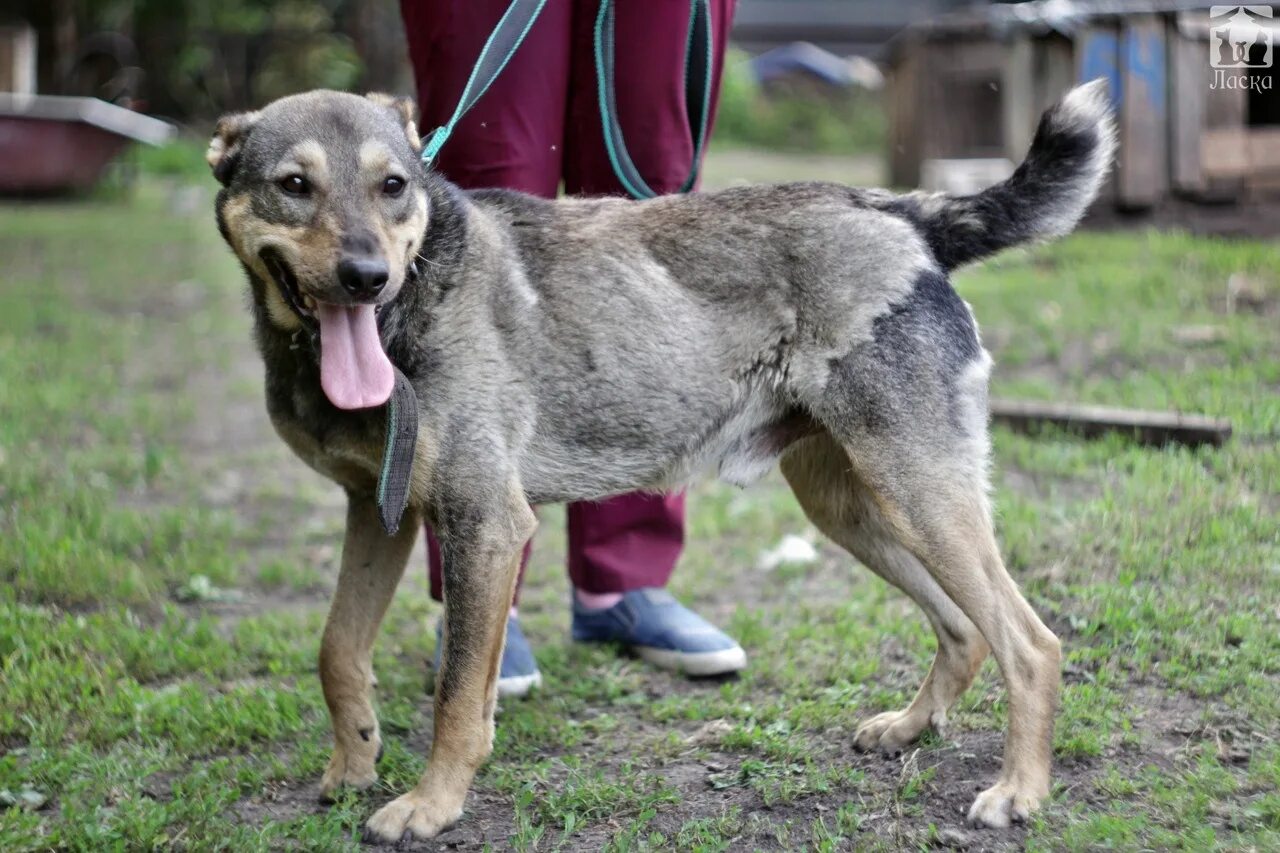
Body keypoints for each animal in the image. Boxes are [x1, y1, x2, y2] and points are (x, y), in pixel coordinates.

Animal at [207, 81, 1111, 845]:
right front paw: (352, 762)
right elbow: (338, 649)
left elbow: (457, 696)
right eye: (295, 184)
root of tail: (904, 215)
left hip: (920, 493)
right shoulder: (380, 512)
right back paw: (911, 727)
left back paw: (1020, 790)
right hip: (854, 506)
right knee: (964, 629)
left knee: (1031, 644)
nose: (367, 276)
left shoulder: (484, 522)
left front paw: (431, 805)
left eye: (393, 185)